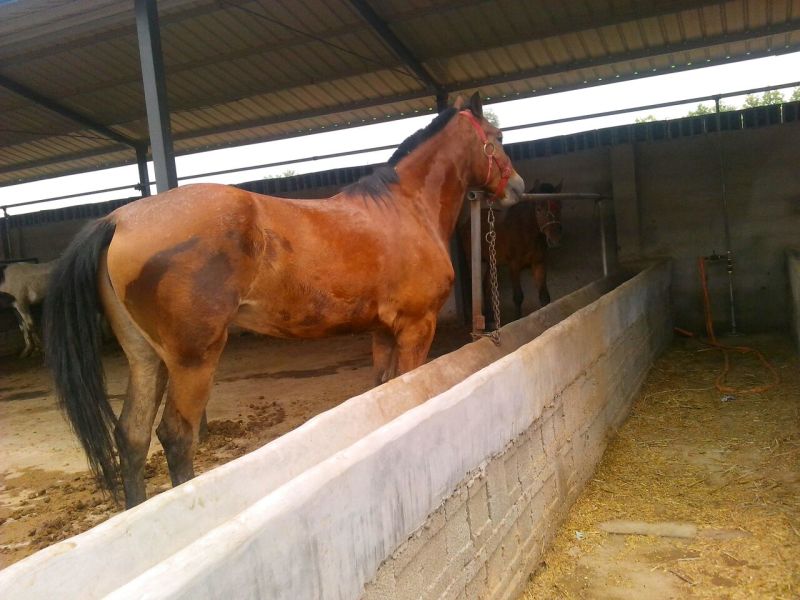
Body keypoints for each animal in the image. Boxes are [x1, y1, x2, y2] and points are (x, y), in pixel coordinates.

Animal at [44, 92, 525, 508]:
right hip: (192, 360)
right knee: (177, 437)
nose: (518, 187)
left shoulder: (383, 333)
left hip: (146, 359)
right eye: (498, 137)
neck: (405, 209)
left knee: (132, 436)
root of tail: (119, 218)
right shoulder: (415, 328)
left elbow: (383, 392)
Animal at [458, 180, 563, 321]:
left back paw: (490, 318)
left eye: (560, 206)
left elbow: (544, 296)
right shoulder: (514, 266)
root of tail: (466, 224)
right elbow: (518, 297)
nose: (555, 239)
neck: (525, 232)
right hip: (473, 261)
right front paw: (518, 319)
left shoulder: (539, 264)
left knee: (486, 286)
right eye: (538, 209)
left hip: (492, 262)